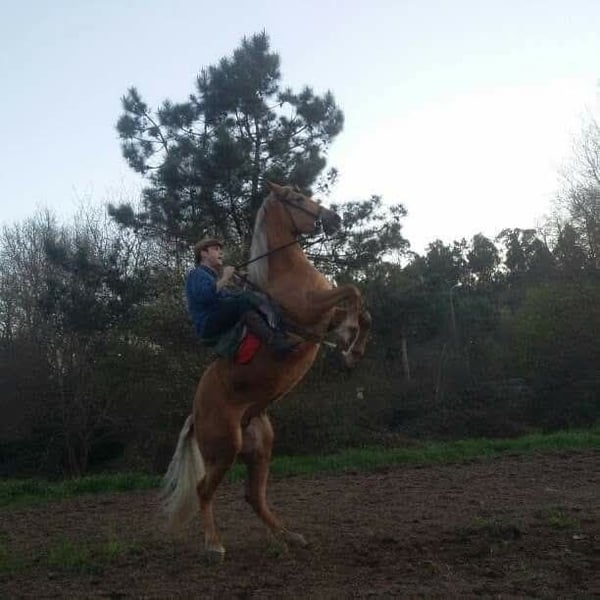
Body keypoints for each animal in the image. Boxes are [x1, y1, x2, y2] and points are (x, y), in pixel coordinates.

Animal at [161, 181, 371, 561]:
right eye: (298, 199)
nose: (334, 218)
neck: (286, 272)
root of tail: (195, 415)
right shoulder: (310, 312)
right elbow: (352, 290)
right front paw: (348, 339)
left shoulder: (321, 318)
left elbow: (364, 311)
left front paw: (352, 348)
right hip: (224, 448)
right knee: (203, 490)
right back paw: (214, 545)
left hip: (259, 447)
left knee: (253, 496)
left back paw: (290, 537)